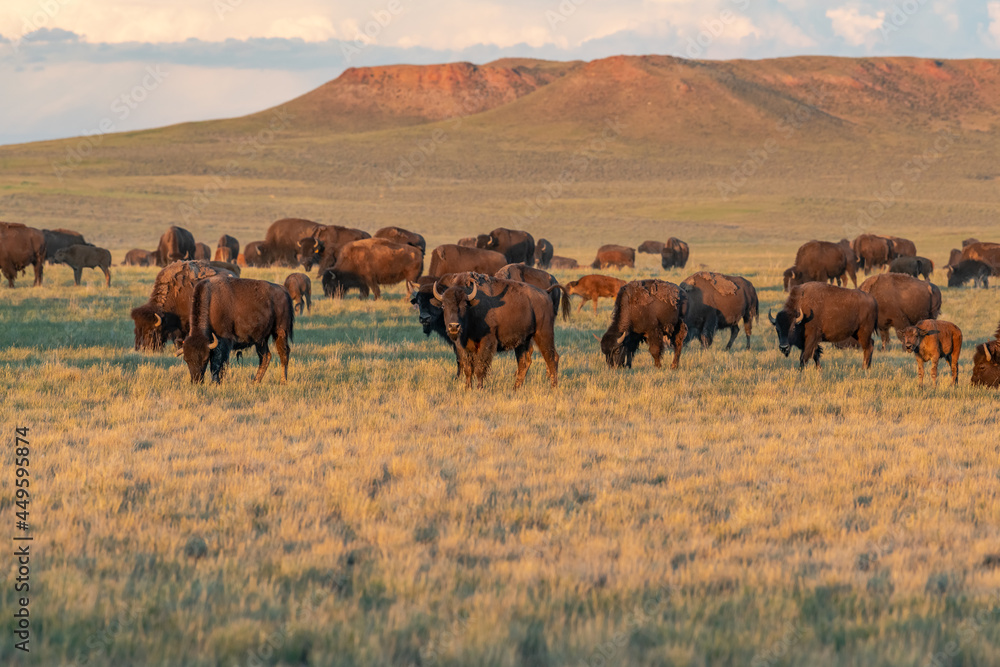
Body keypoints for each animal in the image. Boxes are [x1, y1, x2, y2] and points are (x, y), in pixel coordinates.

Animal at [432, 276, 564, 392]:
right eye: (443, 305)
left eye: (464, 305)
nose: (454, 326)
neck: (473, 310)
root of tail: (545, 292)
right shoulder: (462, 347)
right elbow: (468, 369)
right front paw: (467, 389)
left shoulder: (486, 343)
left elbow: (480, 367)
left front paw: (479, 389)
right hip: (523, 341)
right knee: (524, 362)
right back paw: (515, 388)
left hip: (543, 334)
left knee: (552, 358)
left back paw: (553, 387)